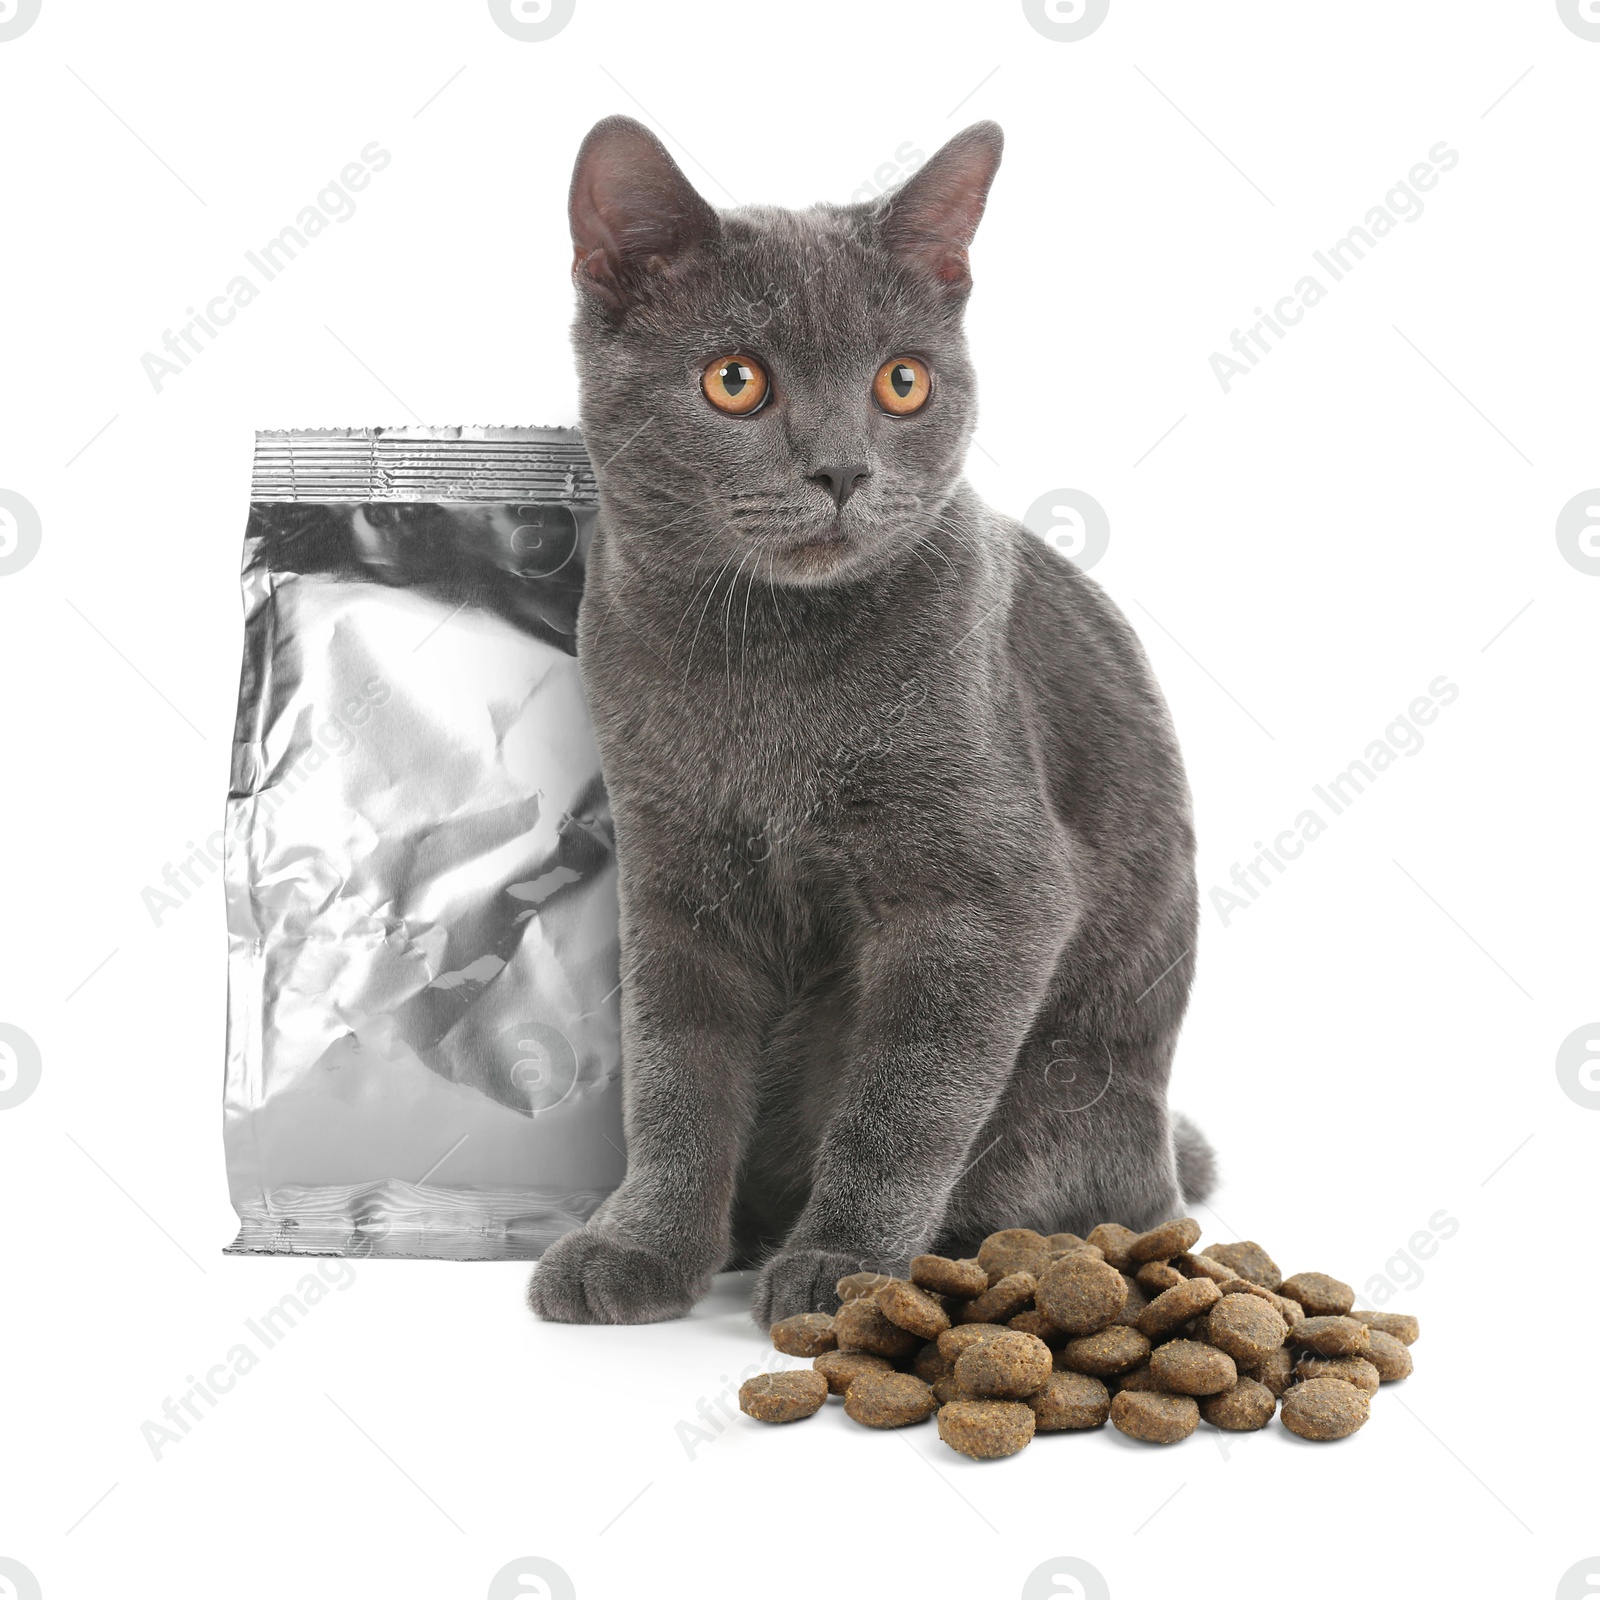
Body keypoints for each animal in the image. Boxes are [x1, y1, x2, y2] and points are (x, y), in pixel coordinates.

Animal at [528, 118, 1209, 1331]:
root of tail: (1159, 1169)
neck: (760, 661)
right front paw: (641, 1248)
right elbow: (672, 1072)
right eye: (734, 380)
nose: (844, 469)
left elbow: (905, 1093)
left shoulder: (985, 893)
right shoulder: (673, 870)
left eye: (902, 381)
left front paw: (844, 1266)